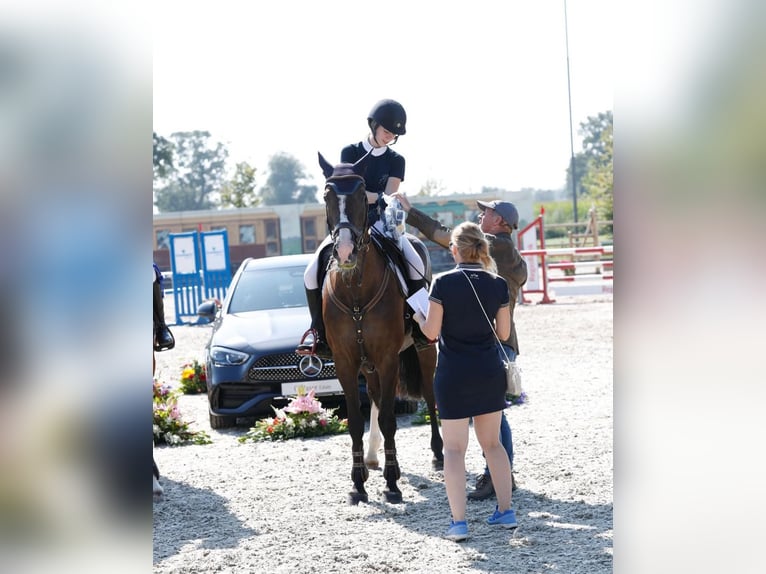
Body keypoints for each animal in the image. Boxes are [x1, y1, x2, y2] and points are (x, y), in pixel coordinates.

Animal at [318, 151, 444, 506]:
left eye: (363, 195)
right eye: (327, 195)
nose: (345, 251)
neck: (356, 289)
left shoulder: (388, 359)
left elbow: (390, 419)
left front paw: (391, 483)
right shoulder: (346, 363)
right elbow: (355, 421)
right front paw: (358, 483)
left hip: (423, 349)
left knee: (429, 394)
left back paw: (438, 454)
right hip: (368, 364)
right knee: (374, 397)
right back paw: (373, 457)